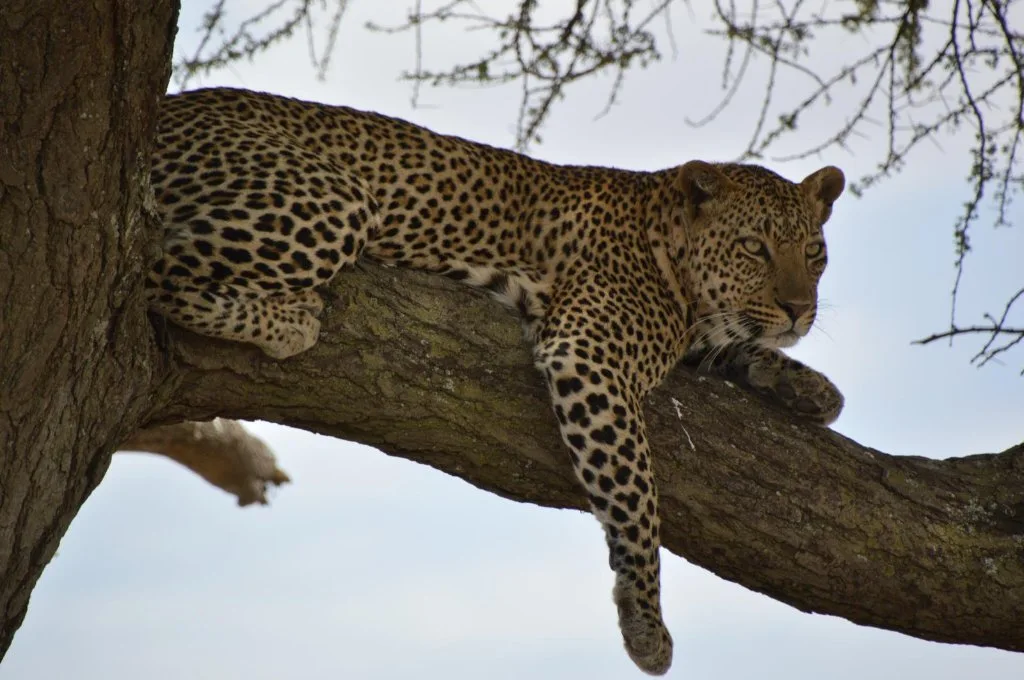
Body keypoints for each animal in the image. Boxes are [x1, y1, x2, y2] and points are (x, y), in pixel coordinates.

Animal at [147, 87, 846, 675]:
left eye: (814, 254)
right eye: (754, 248)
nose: (799, 309)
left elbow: (742, 350)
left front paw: (813, 389)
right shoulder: (589, 352)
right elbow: (639, 497)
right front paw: (646, 623)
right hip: (334, 203)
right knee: (158, 273)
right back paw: (289, 323)